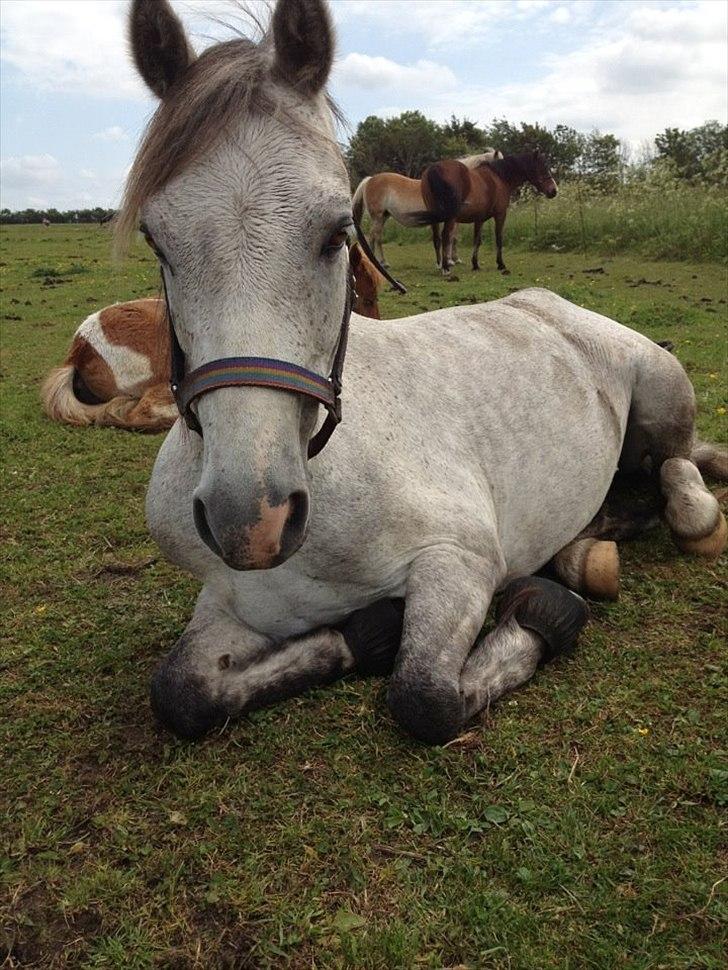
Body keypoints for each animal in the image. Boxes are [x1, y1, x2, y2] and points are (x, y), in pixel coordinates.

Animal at [420, 149, 556, 274]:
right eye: (543, 167)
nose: (554, 190)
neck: (499, 177)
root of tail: (434, 169)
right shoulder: (500, 214)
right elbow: (499, 238)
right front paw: (501, 264)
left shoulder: (479, 219)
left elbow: (477, 240)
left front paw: (475, 264)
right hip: (450, 218)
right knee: (445, 236)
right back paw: (445, 268)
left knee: (437, 238)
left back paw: (440, 265)